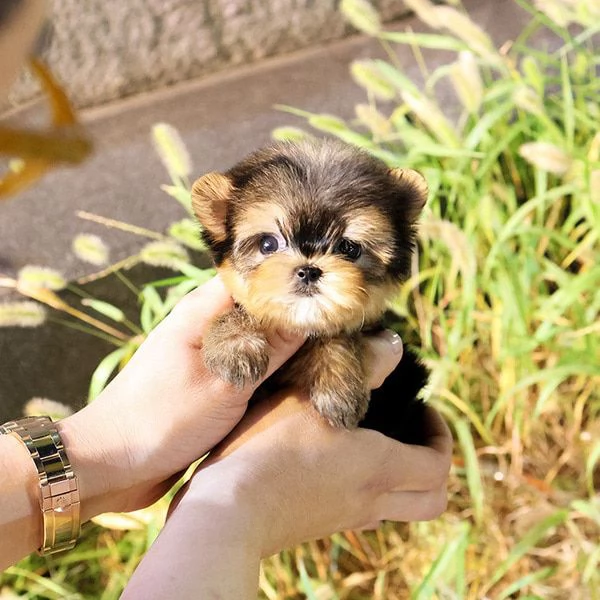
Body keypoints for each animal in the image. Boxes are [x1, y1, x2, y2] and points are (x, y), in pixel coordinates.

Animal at [191, 141, 426, 440]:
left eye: (349, 248)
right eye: (268, 244)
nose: (309, 270)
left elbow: (338, 337)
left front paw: (339, 385)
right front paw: (234, 343)